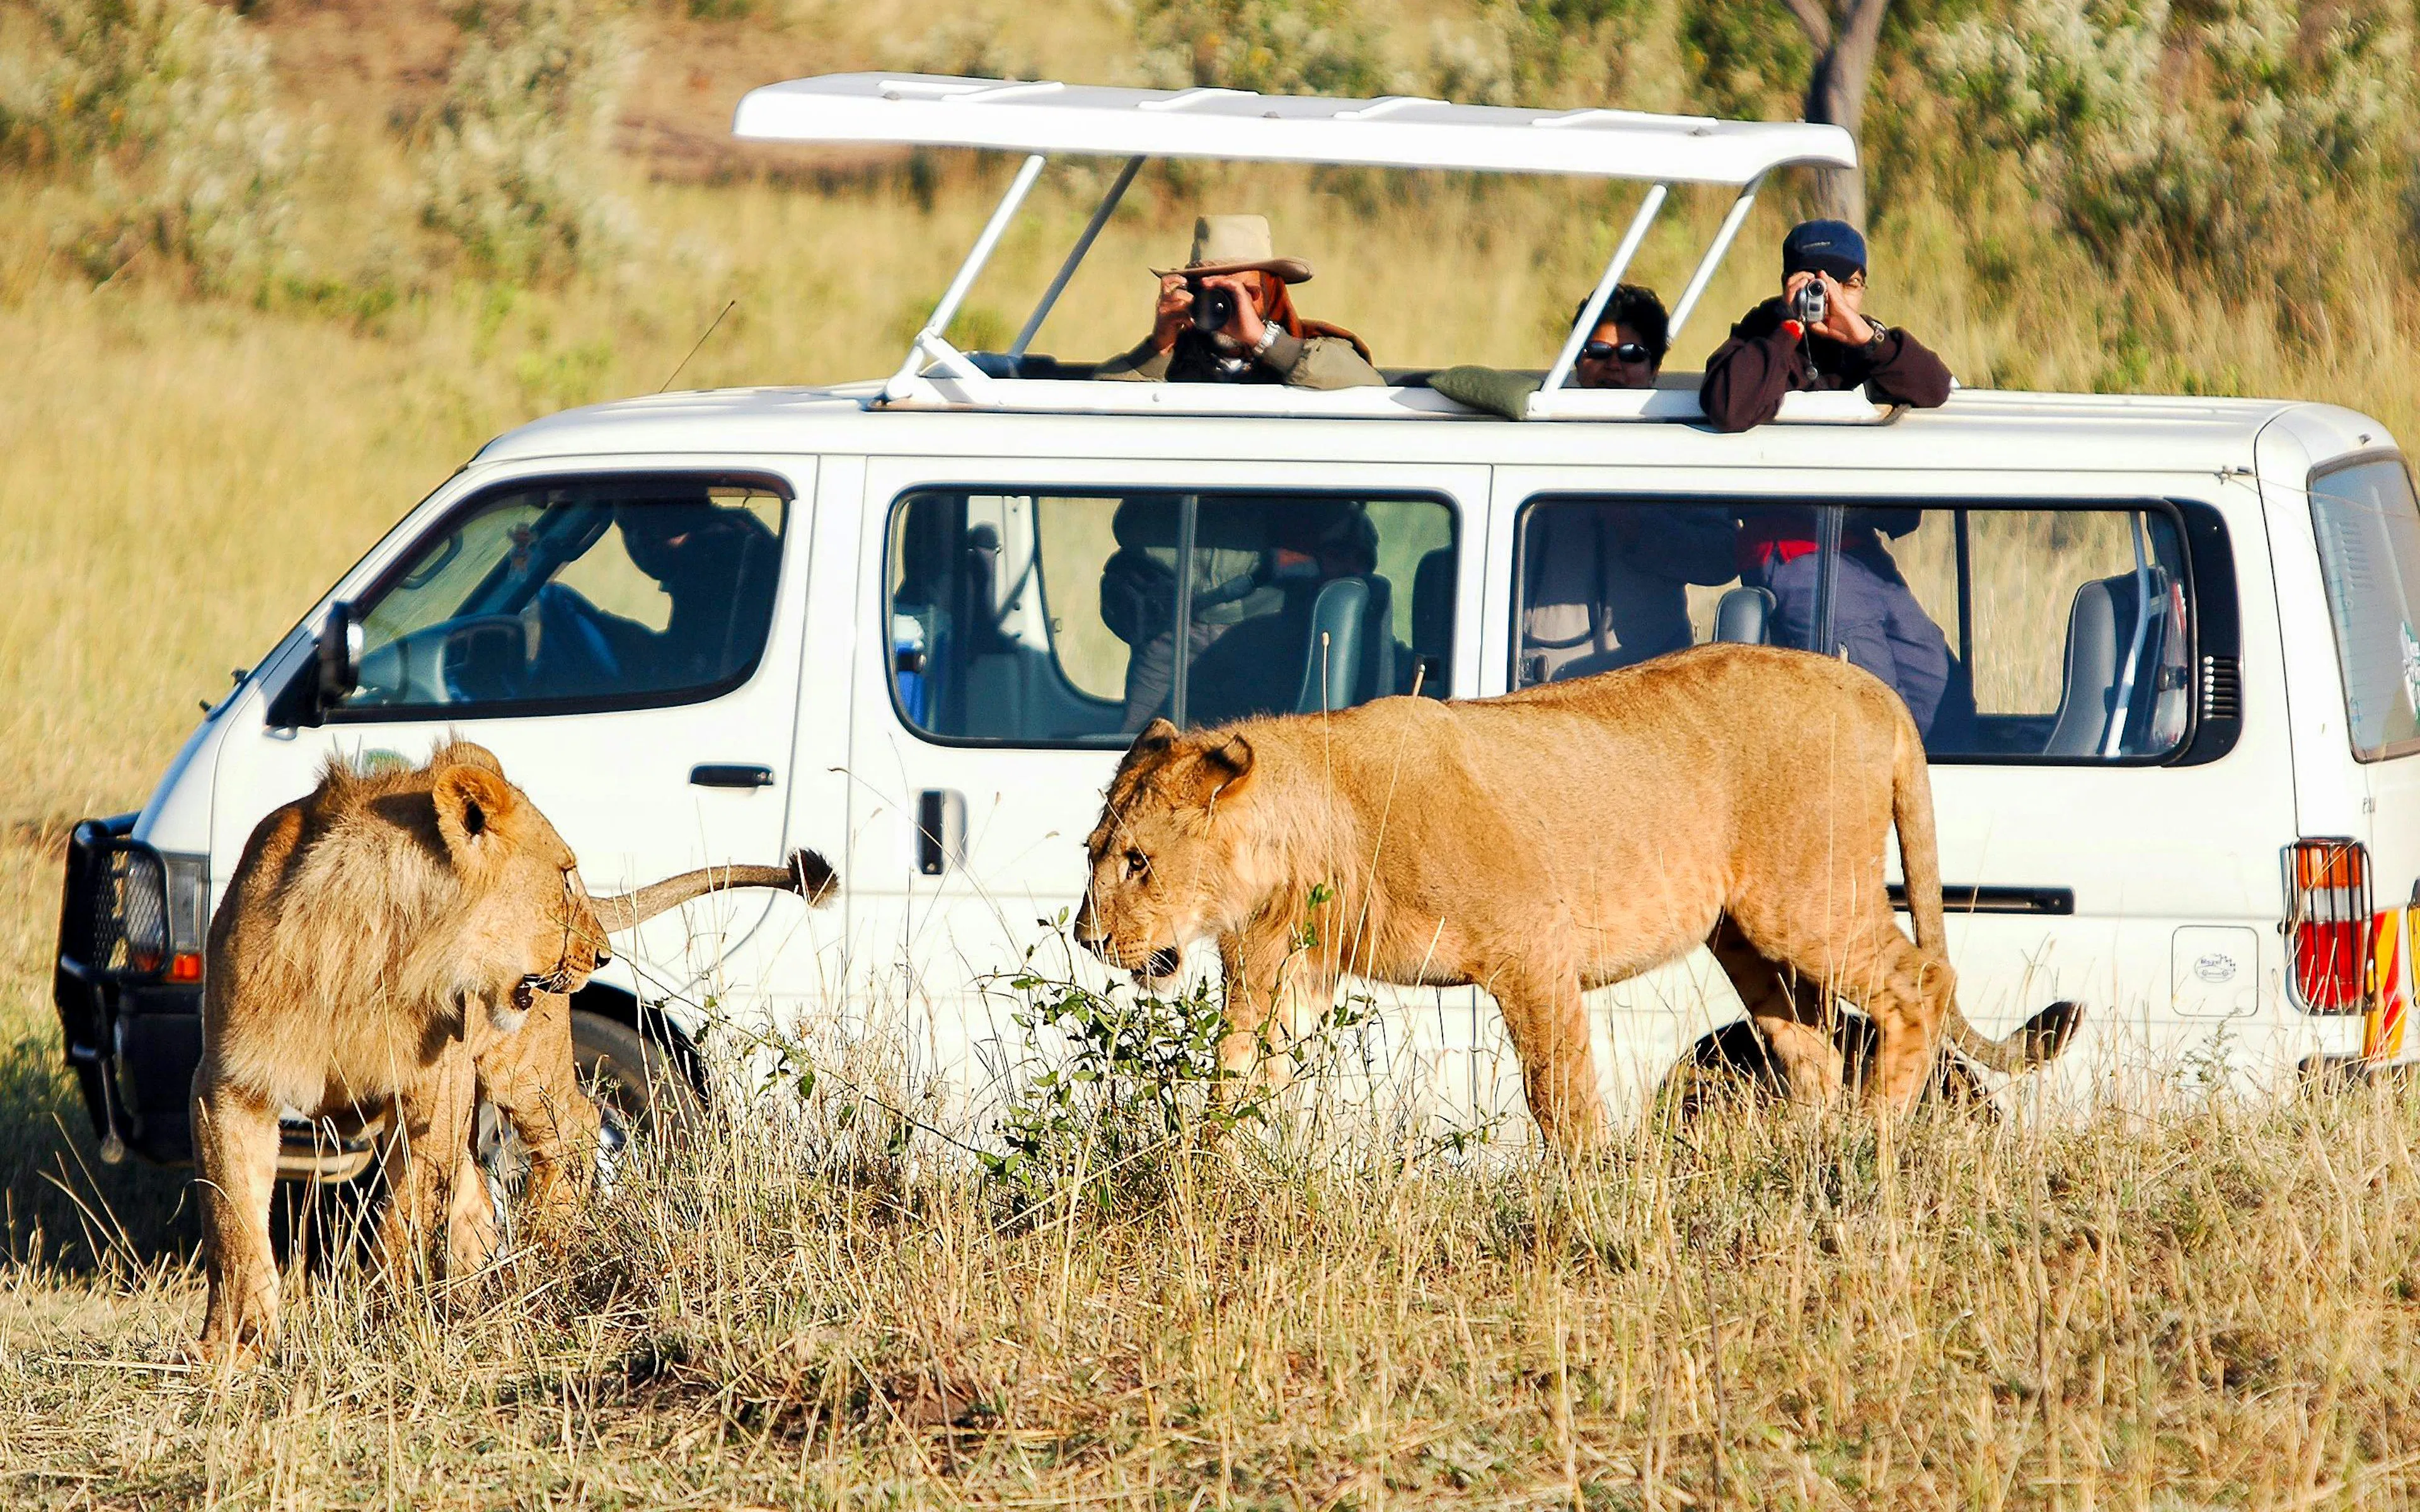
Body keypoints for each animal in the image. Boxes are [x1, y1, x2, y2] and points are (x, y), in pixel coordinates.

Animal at [192, 740, 833, 1363]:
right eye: (565, 874)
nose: (603, 954)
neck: (369, 953)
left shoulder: (435, 1088)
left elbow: (406, 1216)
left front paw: (383, 1321)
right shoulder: (230, 1084)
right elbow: (234, 1222)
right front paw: (233, 1351)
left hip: (523, 1067)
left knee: (575, 1130)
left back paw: (540, 1253)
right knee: (476, 1191)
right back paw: (474, 1292)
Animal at [1074, 643, 2079, 1151]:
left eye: (1138, 862)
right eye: (1094, 853)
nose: (1088, 941)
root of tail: (1875, 690)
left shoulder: (1534, 952)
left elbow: (1560, 1097)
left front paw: (1589, 1194)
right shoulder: (1289, 974)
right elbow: (1239, 1076)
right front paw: (1210, 1174)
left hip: (1805, 895)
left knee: (1919, 987)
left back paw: (1871, 1144)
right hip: (1747, 936)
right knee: (1814, 1045)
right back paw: (1804, 1155)